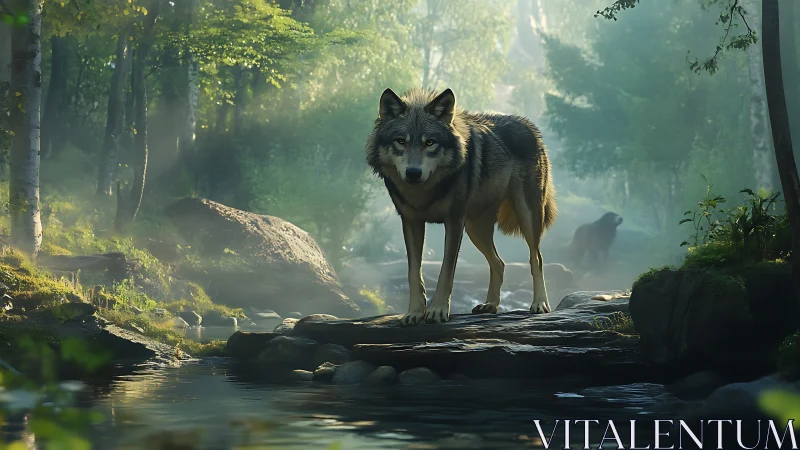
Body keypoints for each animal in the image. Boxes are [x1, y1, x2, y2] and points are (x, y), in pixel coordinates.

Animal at [365, 87, 557, 325]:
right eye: (401, 141)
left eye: (430, 142)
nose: (413, 173)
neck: (424, 192)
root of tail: (529, 125)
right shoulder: (411, 222)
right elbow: (414, 273)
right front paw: (415, 312)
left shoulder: (454, 221)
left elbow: (446, 271)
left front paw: (438, 310)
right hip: (475, 228)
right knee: (499, 263)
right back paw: (490, 305)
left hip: (526, 215)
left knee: (535, 259)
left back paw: (540, 303)